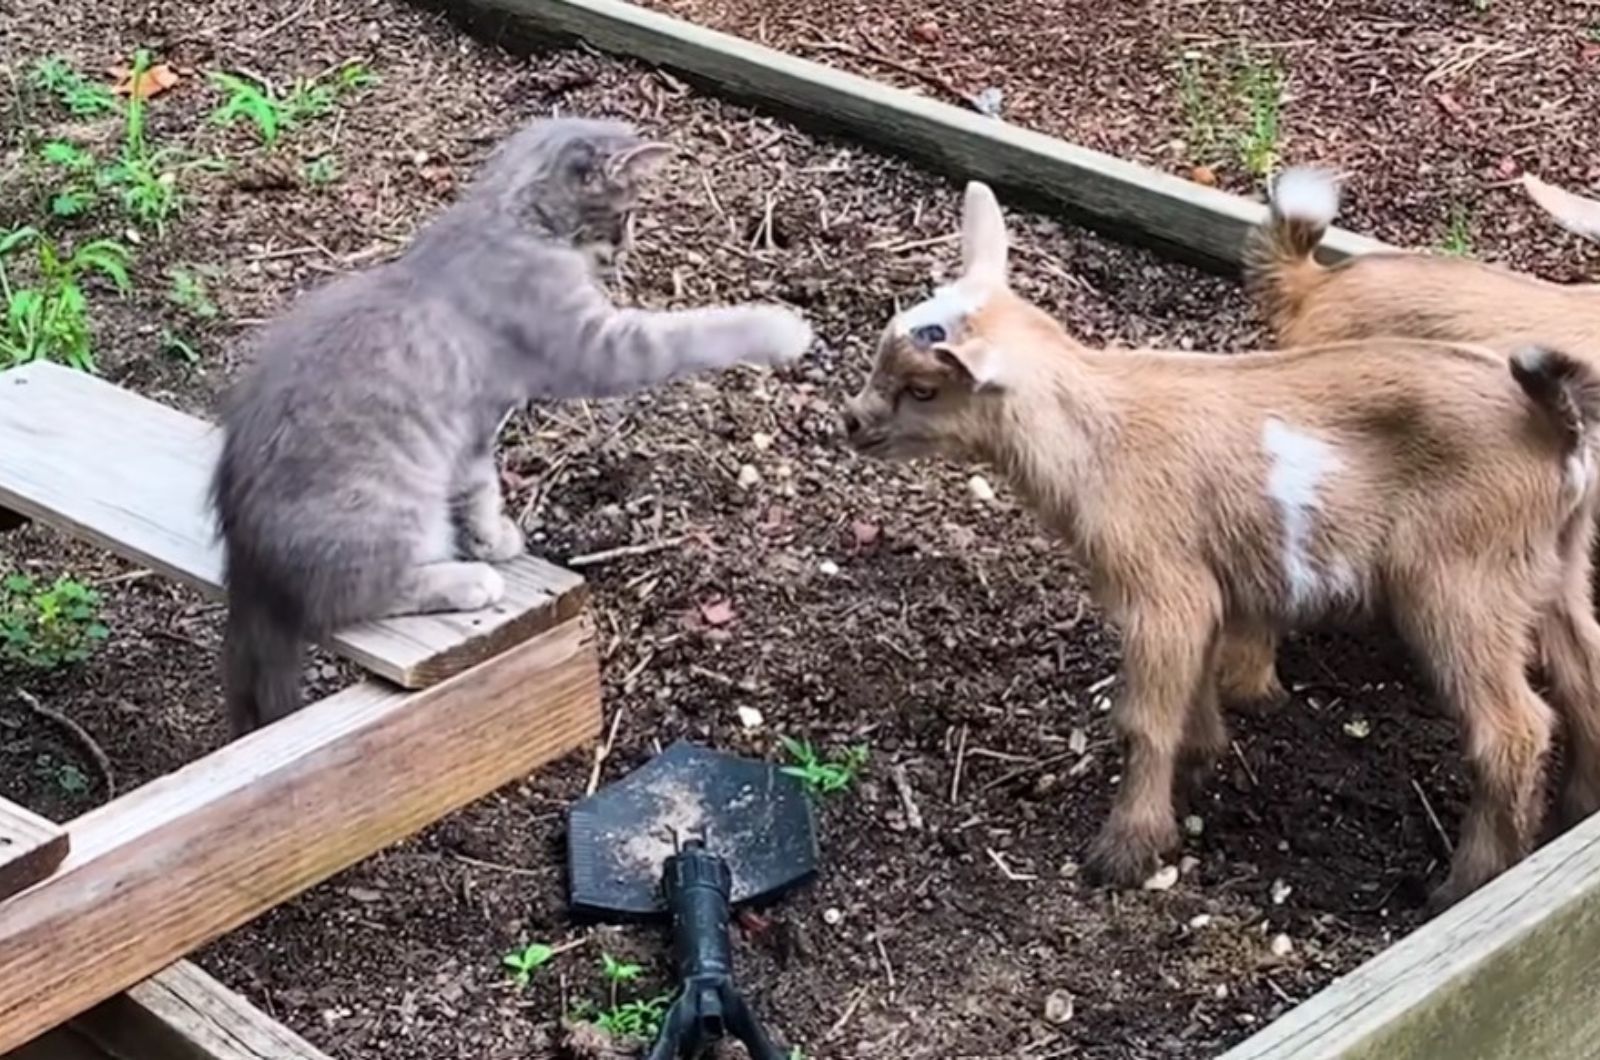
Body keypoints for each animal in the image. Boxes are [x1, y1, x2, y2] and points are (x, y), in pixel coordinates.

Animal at [212, 114, 812, 730]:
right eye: (624, 216)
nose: (625, 252)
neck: (510, 221)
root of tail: (250, 576)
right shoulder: (597, 348)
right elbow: (690, 332)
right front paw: (779, 327)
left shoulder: (473, 429)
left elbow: (480, 486)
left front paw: (488, 536)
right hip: (391, 511)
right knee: (352, 599)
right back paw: (464, 580)